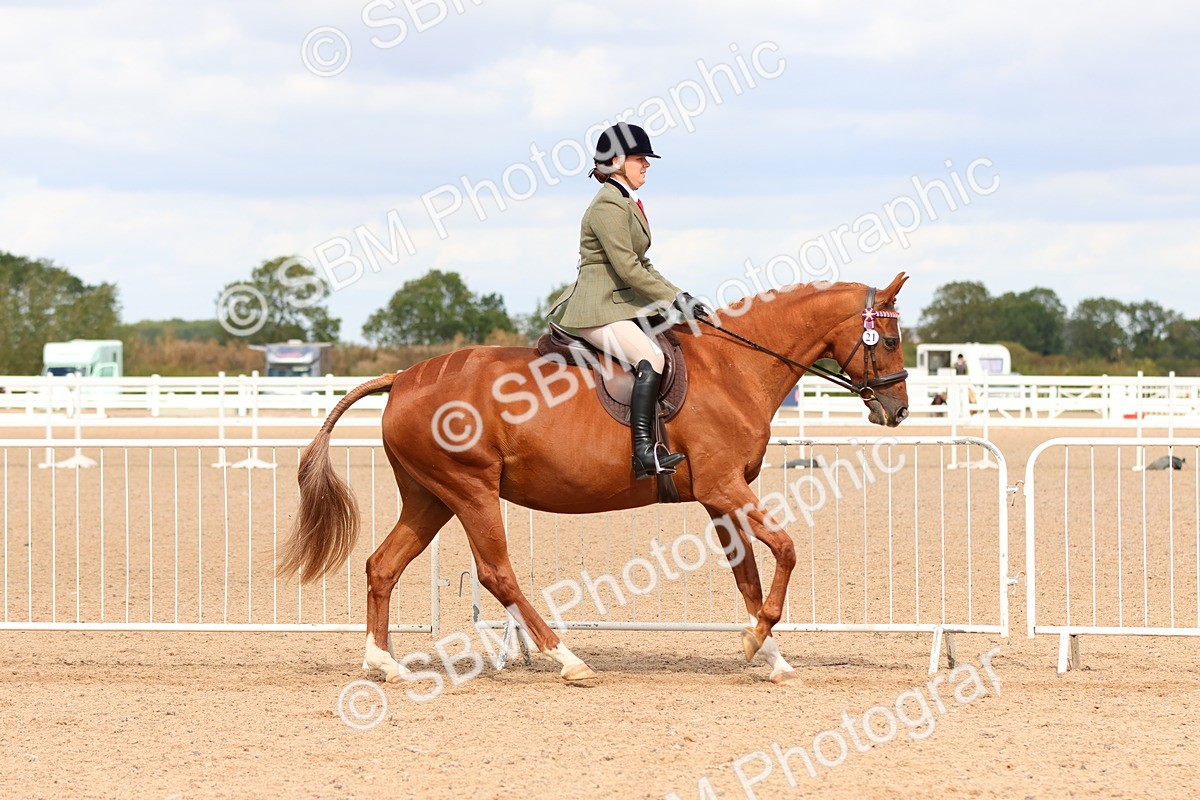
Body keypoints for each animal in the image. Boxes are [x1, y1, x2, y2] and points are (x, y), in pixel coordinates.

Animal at [277, 272, 910, 684]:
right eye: (891, 339)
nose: (898, 410)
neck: (734, 367)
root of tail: (403, 377)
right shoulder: (724, 488)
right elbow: (786, 548)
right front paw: (757, 640)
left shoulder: (719, 499)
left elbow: (749, 577)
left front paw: (768, 655)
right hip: (469, 489)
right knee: (496, 573)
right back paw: (568, 660)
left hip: (430, 497)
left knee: (382, 565)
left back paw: (382, 662)